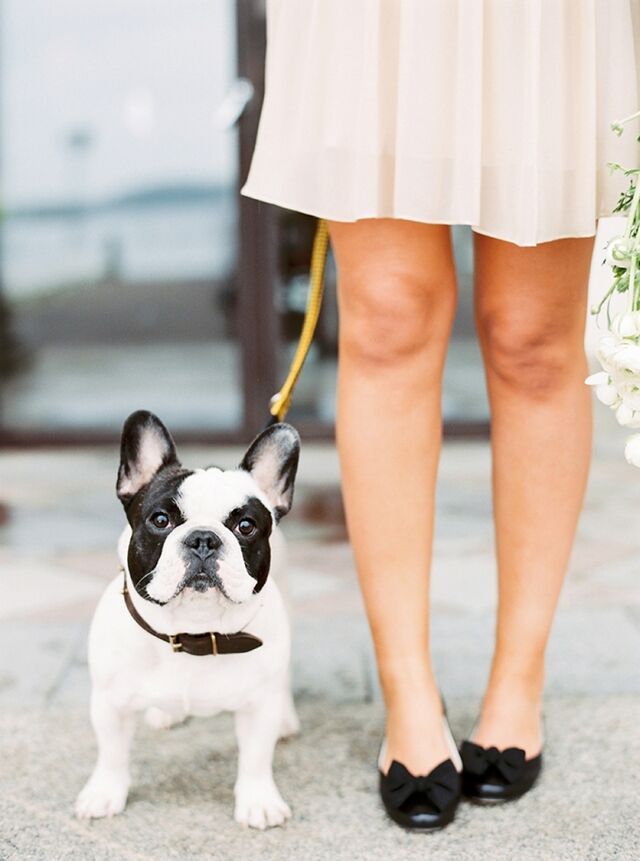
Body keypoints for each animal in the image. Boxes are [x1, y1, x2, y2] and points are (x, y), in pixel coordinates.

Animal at [75, 410, 300, 829]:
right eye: (161, 519)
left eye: (246, 526)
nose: (203, 538)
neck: (193, 633)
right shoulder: (110, 703)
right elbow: (111, 754)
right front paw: (104, 793)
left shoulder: (257, 708)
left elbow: (256, 758)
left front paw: (258, 801)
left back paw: (286, 719)